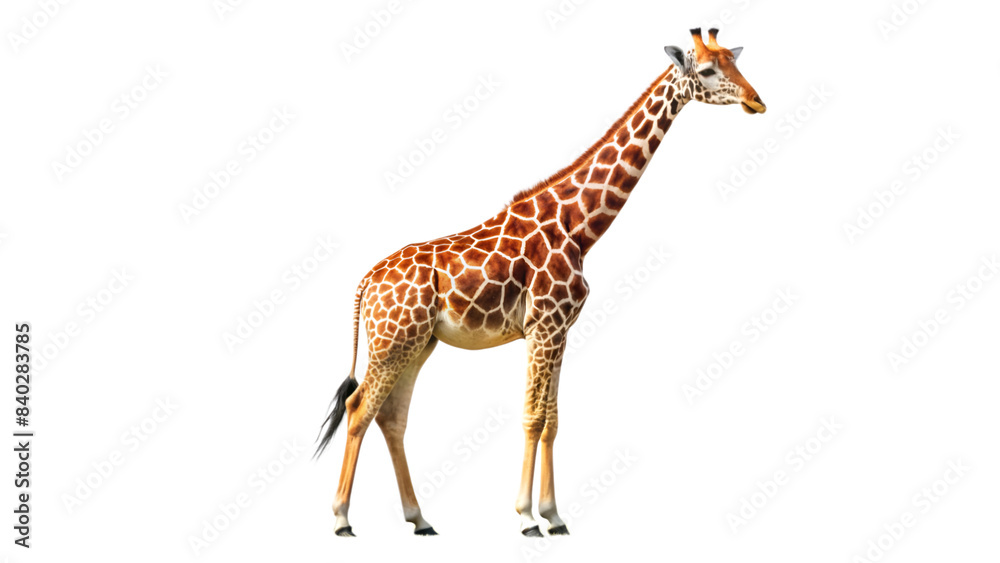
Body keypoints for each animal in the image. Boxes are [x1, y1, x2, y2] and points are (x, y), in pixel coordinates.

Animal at [315, 28, 766, 537]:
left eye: (735, 62)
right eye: (707, 70)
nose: (756, 100)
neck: (578, 227)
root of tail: (366, 281)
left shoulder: (561, 330)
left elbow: (552, 419)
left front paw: (554, 515)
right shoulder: (544, 325)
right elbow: (532, 417)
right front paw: (527, 517)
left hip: (417, 343)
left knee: (391, 418)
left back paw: (420, 519)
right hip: (392, 341)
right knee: (358, 410)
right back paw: (341, 519)